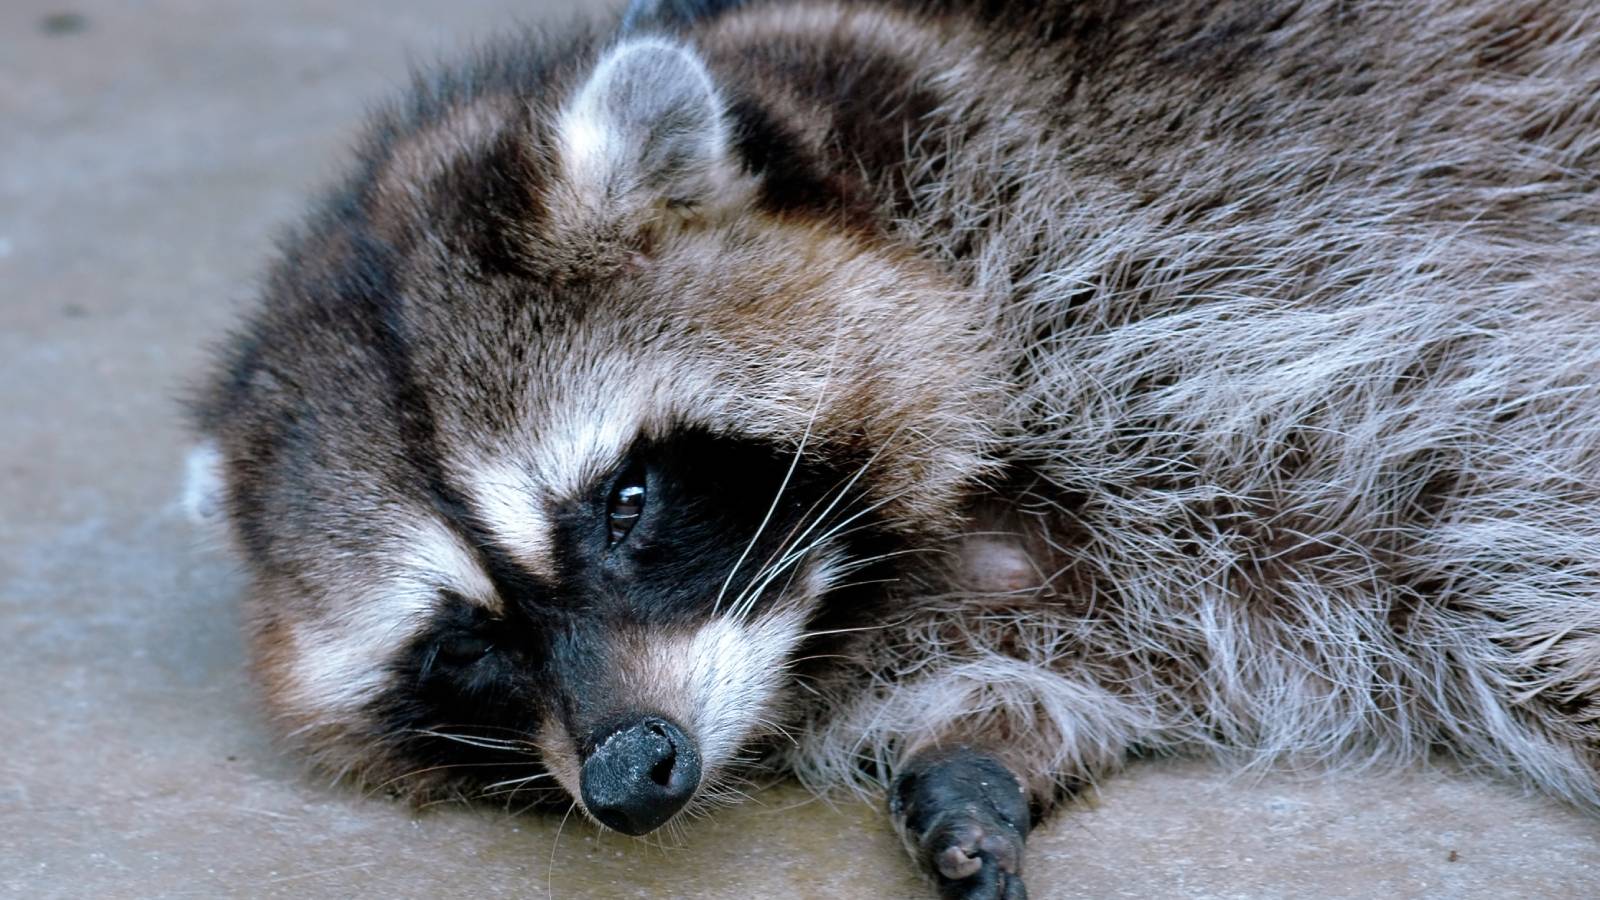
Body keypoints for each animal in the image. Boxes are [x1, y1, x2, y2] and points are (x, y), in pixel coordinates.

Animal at [188, 0, 1600, 896]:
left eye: (626, 501)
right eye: (463, 647)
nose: (633, 773)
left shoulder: (1259, 259)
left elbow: (1515, 524)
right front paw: (988, 746)